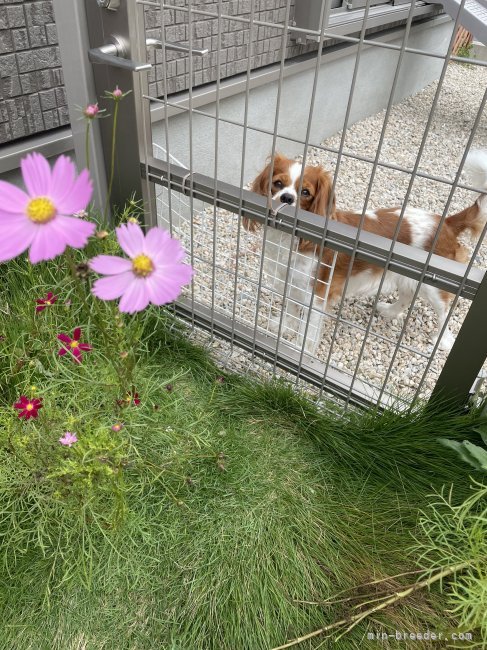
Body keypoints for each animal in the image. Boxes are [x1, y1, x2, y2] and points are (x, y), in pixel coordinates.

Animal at [246, 151, 487, 352]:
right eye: (277, 184)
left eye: (305, 192)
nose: (287, 198)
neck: (291, 238)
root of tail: (445, 222)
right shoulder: (291, 282)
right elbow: (291, 309)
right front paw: (284, 326)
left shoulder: (317, 292)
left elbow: (308, 328)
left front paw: (300, 349)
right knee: (407, 294)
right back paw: (390, 311)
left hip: (434, 287)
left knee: (444, 312)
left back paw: (443, 341)